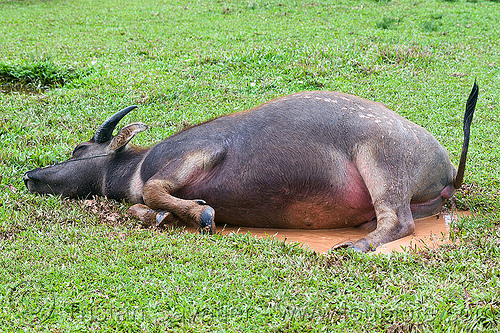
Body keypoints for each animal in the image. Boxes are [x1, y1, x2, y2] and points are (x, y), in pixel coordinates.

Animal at [24, 83, 480, 252]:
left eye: (81, 147)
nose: (31, 176)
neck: (134, 166)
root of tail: (446, 166)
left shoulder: (197, 152)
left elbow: (154, 190)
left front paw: (201, 215)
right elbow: (146, 207)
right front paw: (160, 216)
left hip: (381, 162)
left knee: (399, 221)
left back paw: (355, 246)